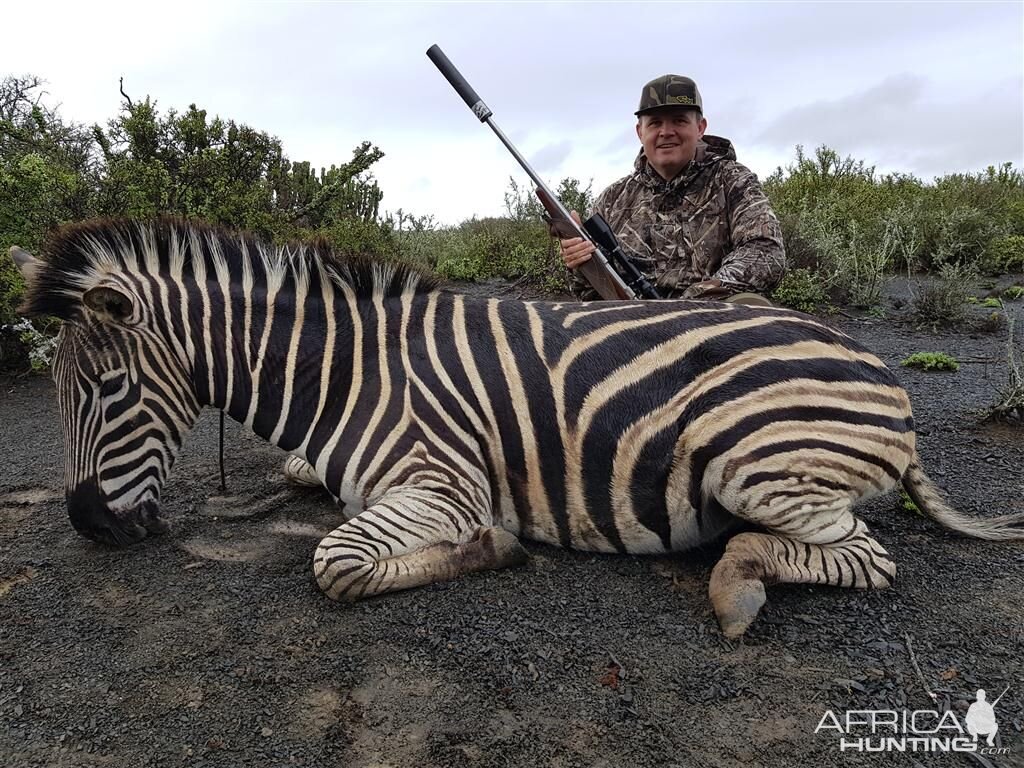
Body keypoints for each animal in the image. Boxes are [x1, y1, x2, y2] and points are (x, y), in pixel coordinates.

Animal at [9, 218, 1024, 638]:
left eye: (107, 388)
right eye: (57, 392)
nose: (88, 526)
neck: (343, 378)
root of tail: (871, 362)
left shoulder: (440, 482)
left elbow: (335, 563)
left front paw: (494, 549)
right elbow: (301, 478)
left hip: (754, 463)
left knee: (863, 558)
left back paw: (736, 579)